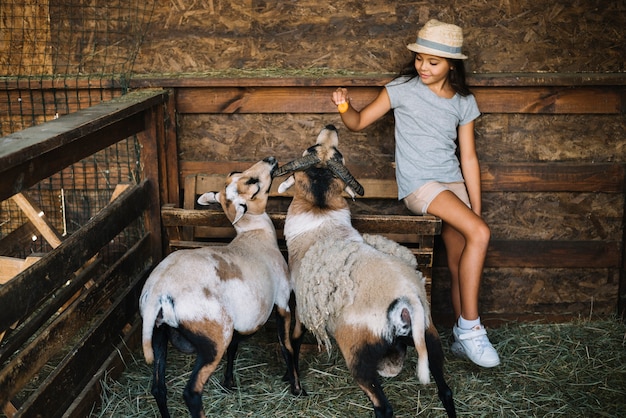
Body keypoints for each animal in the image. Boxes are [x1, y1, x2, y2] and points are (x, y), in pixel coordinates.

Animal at [142, 157, 308, 418]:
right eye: (252, 182)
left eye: (236, 173)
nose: (270, 159)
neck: (254, 236)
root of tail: (158, 292)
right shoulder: (282, 302)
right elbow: (287, 347)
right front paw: (296, 388)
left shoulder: (240, 320)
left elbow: (235, 348)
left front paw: (229, 383)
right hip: (212, 341)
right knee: (191, 392)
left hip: (159, 334)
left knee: (158, 388)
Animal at [272, 125, 454, 416]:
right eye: (315, 148)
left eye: (337, 153)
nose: (331, 127)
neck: (320, 214)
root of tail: (408, 300)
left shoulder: (303, 308)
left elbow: (296, 340)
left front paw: (292, 381)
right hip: (430, 336)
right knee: (445, 391)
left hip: (357, 354)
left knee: (383, 407)